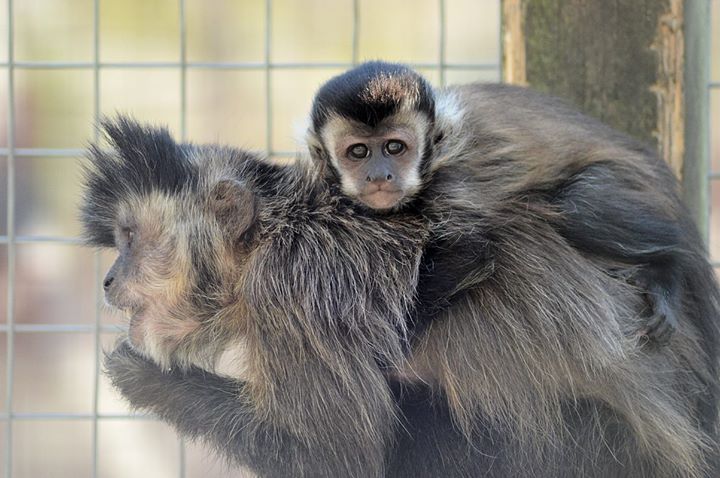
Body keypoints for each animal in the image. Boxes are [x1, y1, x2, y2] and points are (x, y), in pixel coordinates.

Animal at [90, 116, 720, 478]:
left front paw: (154, 381)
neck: (272, 233)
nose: (109, 278)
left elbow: (343, 458)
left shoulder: (289, 293)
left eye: (130, 239)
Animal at [306, 60, 684, 344]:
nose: (379, 175)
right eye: (358, 152)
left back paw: (669, 268)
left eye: (395, 147)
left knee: (578, 206)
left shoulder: (451, 183)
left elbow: (472, 251)